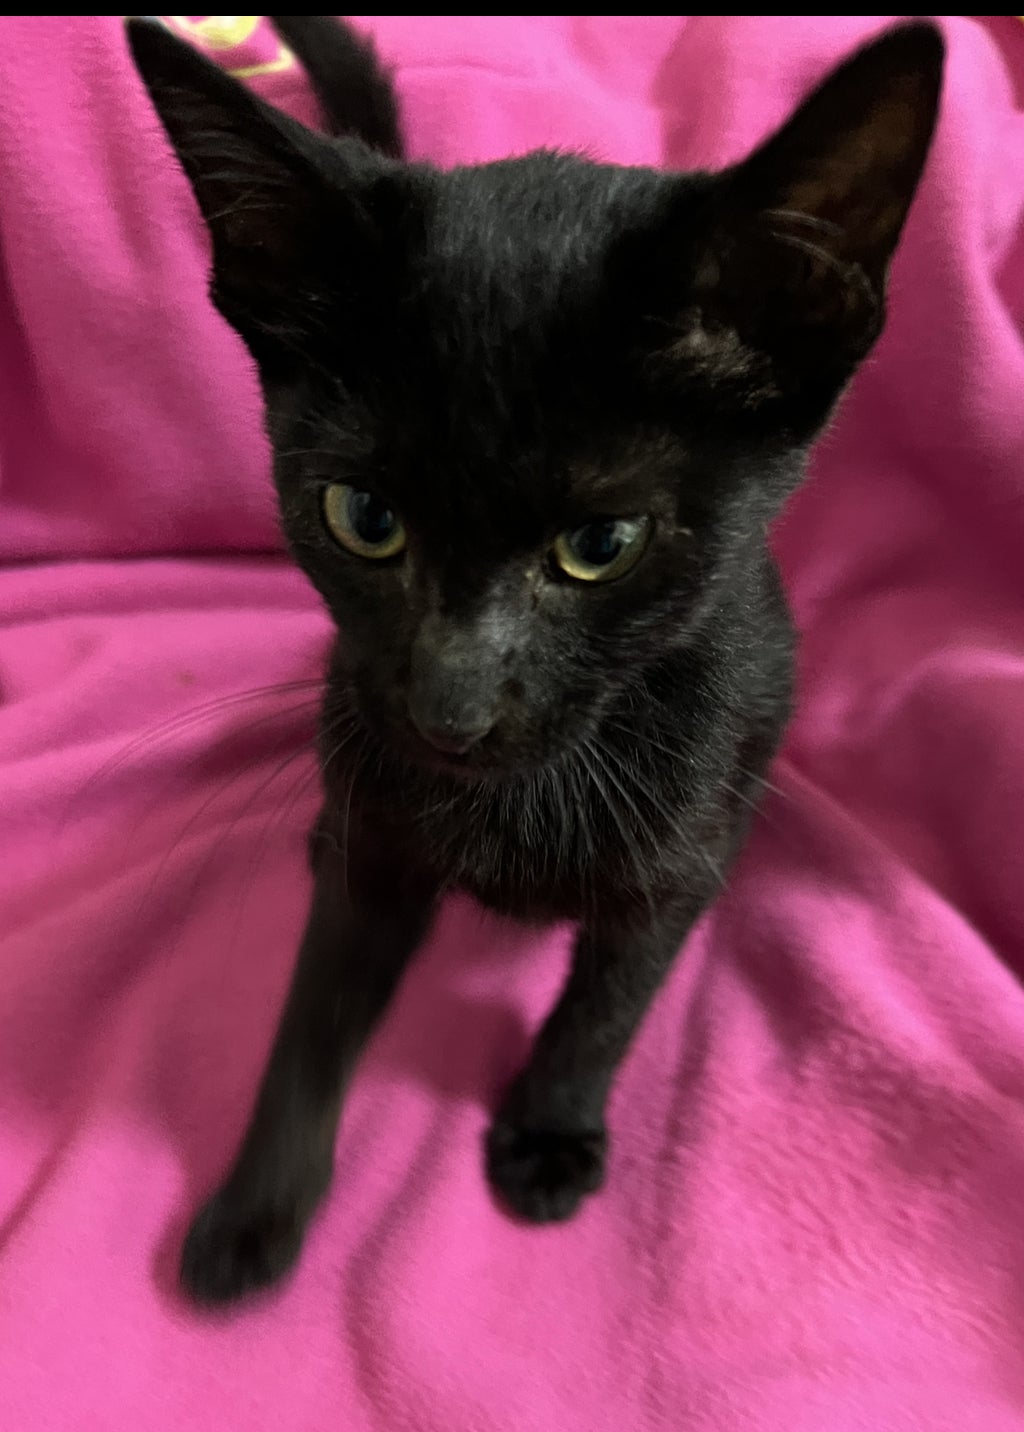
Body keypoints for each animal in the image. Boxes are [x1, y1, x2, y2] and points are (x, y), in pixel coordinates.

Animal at [128, 15, 943, 1305]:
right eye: (364, 516)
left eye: (599, 546)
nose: (449, 710)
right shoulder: (376, 842)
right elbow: (310, 1016)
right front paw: (257, 1208)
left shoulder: (676, 863)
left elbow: (606, 1006)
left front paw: (550, 1129)